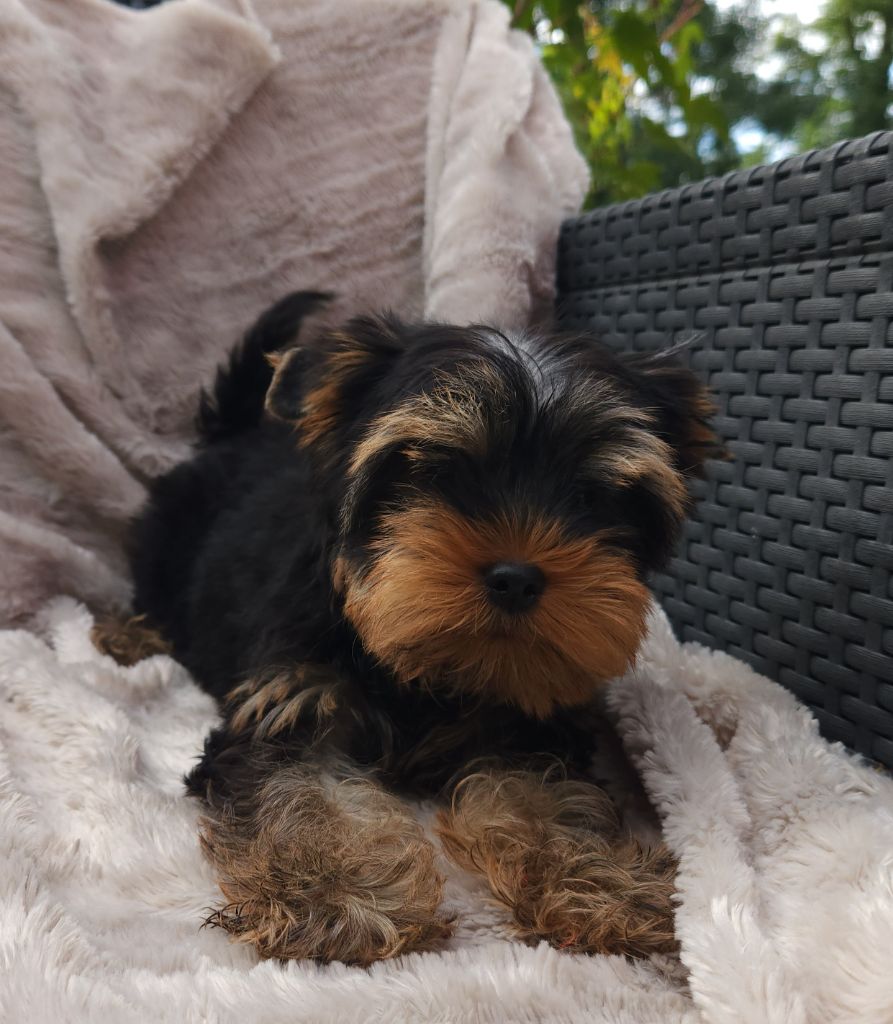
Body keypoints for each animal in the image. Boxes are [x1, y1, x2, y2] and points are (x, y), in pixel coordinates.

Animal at [97, 291, 719, 966]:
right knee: (153, 592)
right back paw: (129, 635)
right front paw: (336, 895)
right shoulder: (295, 700)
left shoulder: (527, 724)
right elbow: (302, 791)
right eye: (431, 471)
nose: (516, 577)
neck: (428, 671)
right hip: (167, 544)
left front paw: (602, 884)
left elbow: (547, 798)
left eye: (593, 495)